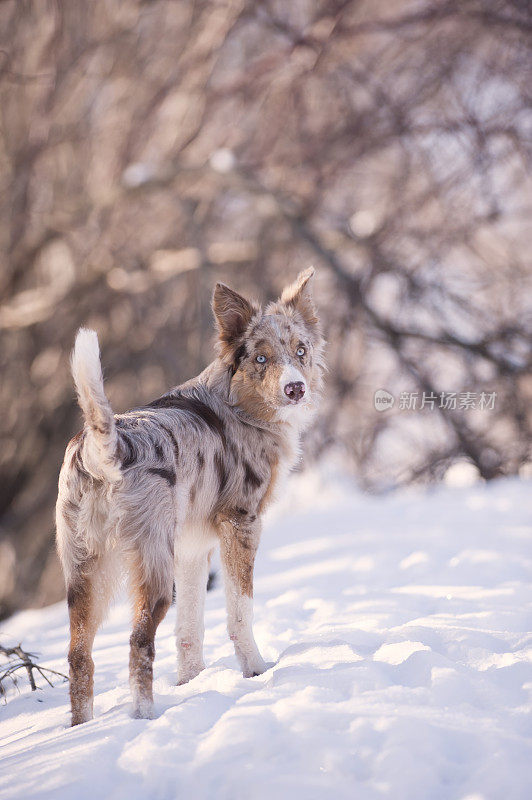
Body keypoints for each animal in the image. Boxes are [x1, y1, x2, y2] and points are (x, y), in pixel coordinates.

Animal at [57, 268, 324, 724]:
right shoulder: (241, 524)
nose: (295, 389)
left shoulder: (193, 549)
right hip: (152, 568)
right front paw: (256, 672)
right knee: (138, 641)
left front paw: (192, 684)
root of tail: (102, 449)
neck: (240, 404)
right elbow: (239, 613)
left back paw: (82, 731)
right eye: (261, 359)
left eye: (300, 350)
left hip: (85, 573)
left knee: (79, 657)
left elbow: (190, 631)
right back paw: (145, 716)